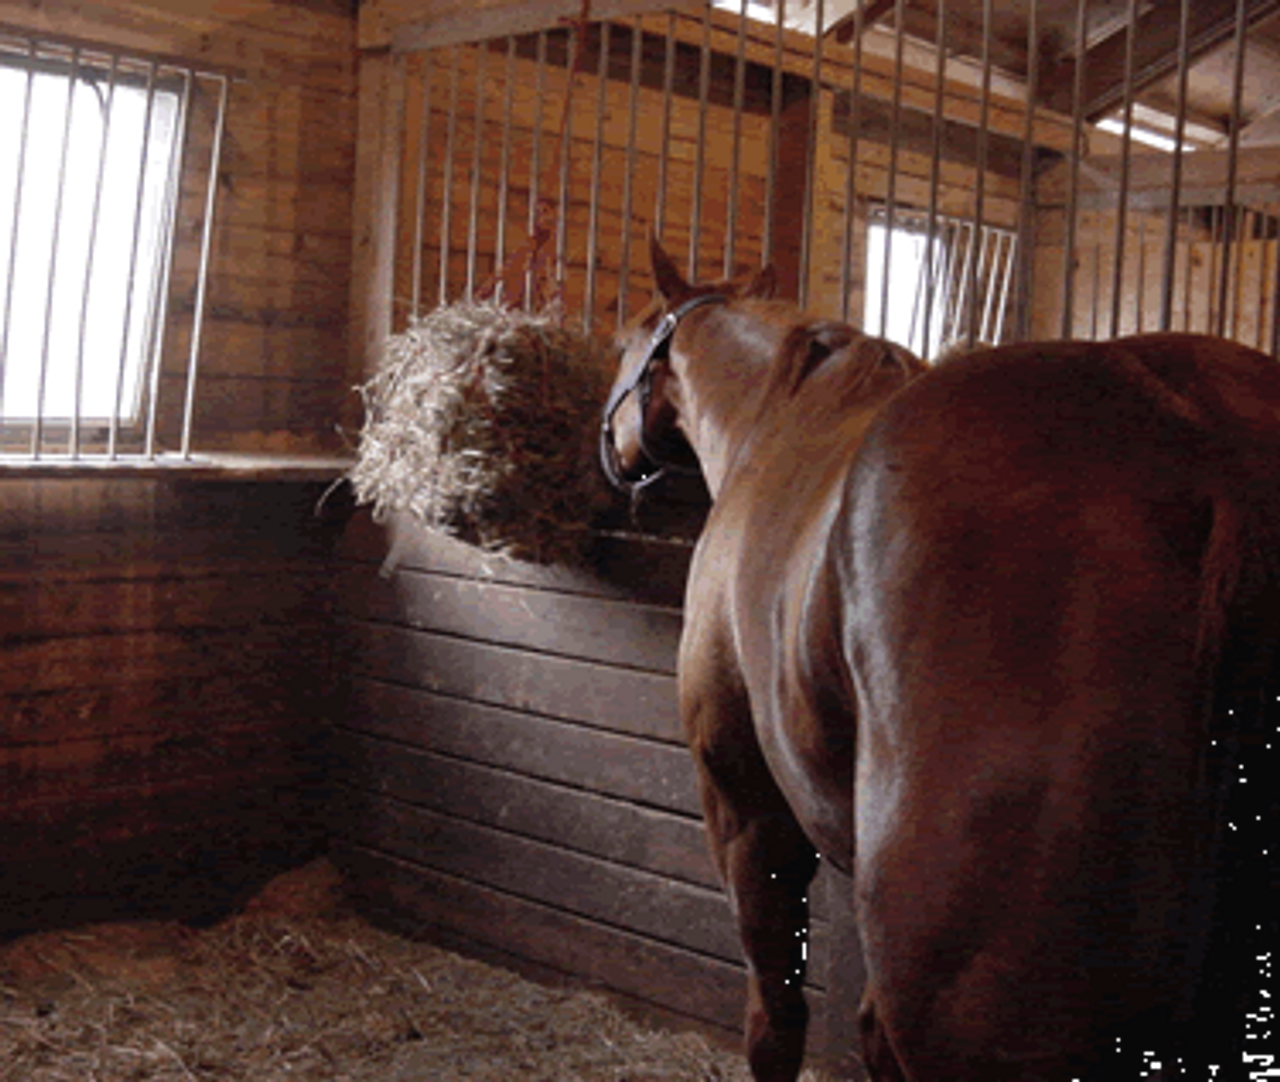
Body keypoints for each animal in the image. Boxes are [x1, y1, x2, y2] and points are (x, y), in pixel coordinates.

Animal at [601, 238, 1280, 1080]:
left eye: (624, 337)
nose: (610, 447)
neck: (776, 420)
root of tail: (1204, 442)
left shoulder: (744, 804)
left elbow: (776, 1012)